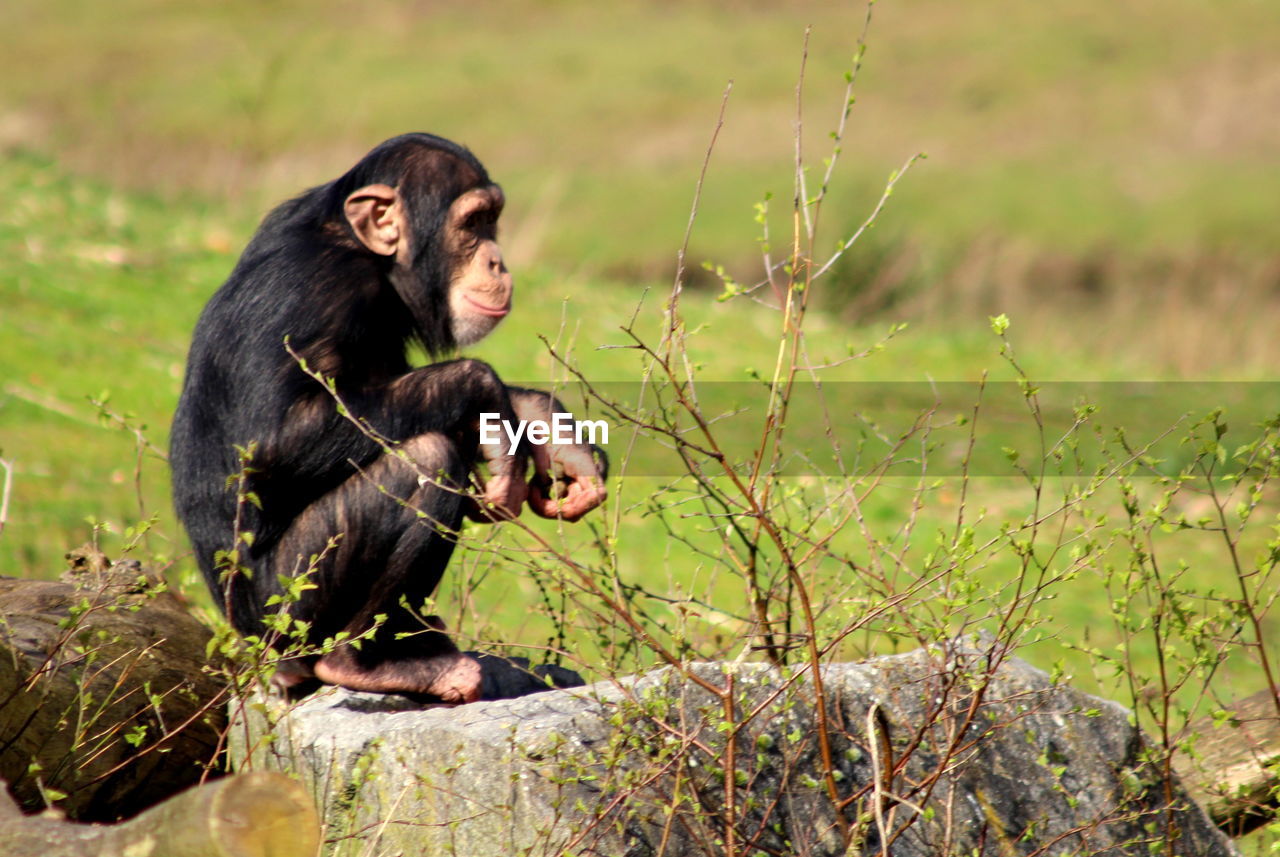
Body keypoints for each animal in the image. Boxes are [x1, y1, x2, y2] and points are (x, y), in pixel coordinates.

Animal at [170, 134, 604, 706]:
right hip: (286, 607)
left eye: (492, 221)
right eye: (472, 224)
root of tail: (251, 649)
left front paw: (548, 428)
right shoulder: (318, 285)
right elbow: (272, 437)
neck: (364, 254)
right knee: (426, 456)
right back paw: (362, 664)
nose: (497, 261)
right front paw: (485, 392)